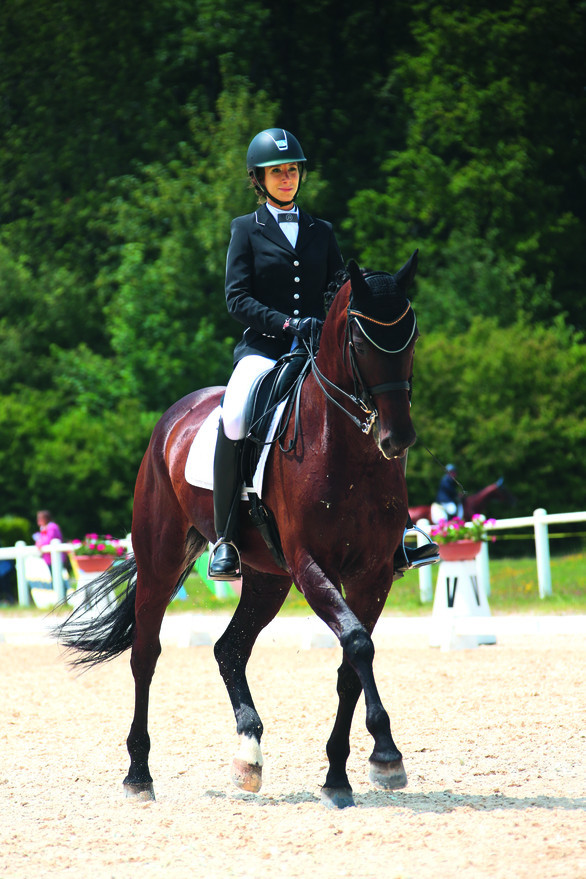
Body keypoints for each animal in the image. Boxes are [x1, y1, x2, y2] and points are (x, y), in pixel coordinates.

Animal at [57, 253, 420, 812]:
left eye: (411, 337)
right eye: (361, 343)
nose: (396, 438)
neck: (342, 448)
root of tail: (175, 416)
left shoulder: (373, 572)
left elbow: (349, 664)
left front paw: (338, 776)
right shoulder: (310, 565)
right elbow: (358, 645)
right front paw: (385, 755)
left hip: (267, 576)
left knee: (229, 648)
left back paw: (249, 755)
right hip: (163, 561)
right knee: (145, 655)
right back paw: (138, 774)